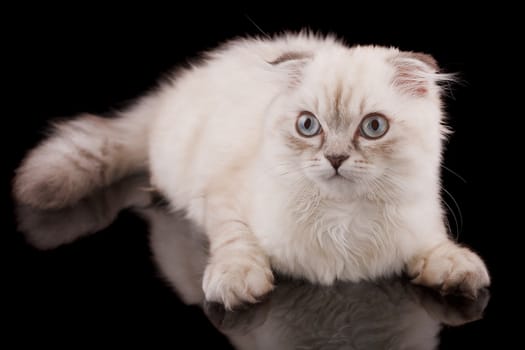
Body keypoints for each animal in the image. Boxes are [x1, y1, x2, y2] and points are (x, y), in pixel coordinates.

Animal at [13, 31, 488, 308]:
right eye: (308, 126)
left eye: (373, 127)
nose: (335, 159)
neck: (343, 218)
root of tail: (175, 87)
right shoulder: (224, 198)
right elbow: (236, 241)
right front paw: (238, 281)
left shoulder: (422, 222)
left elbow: (436, 246)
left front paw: (457, 270)